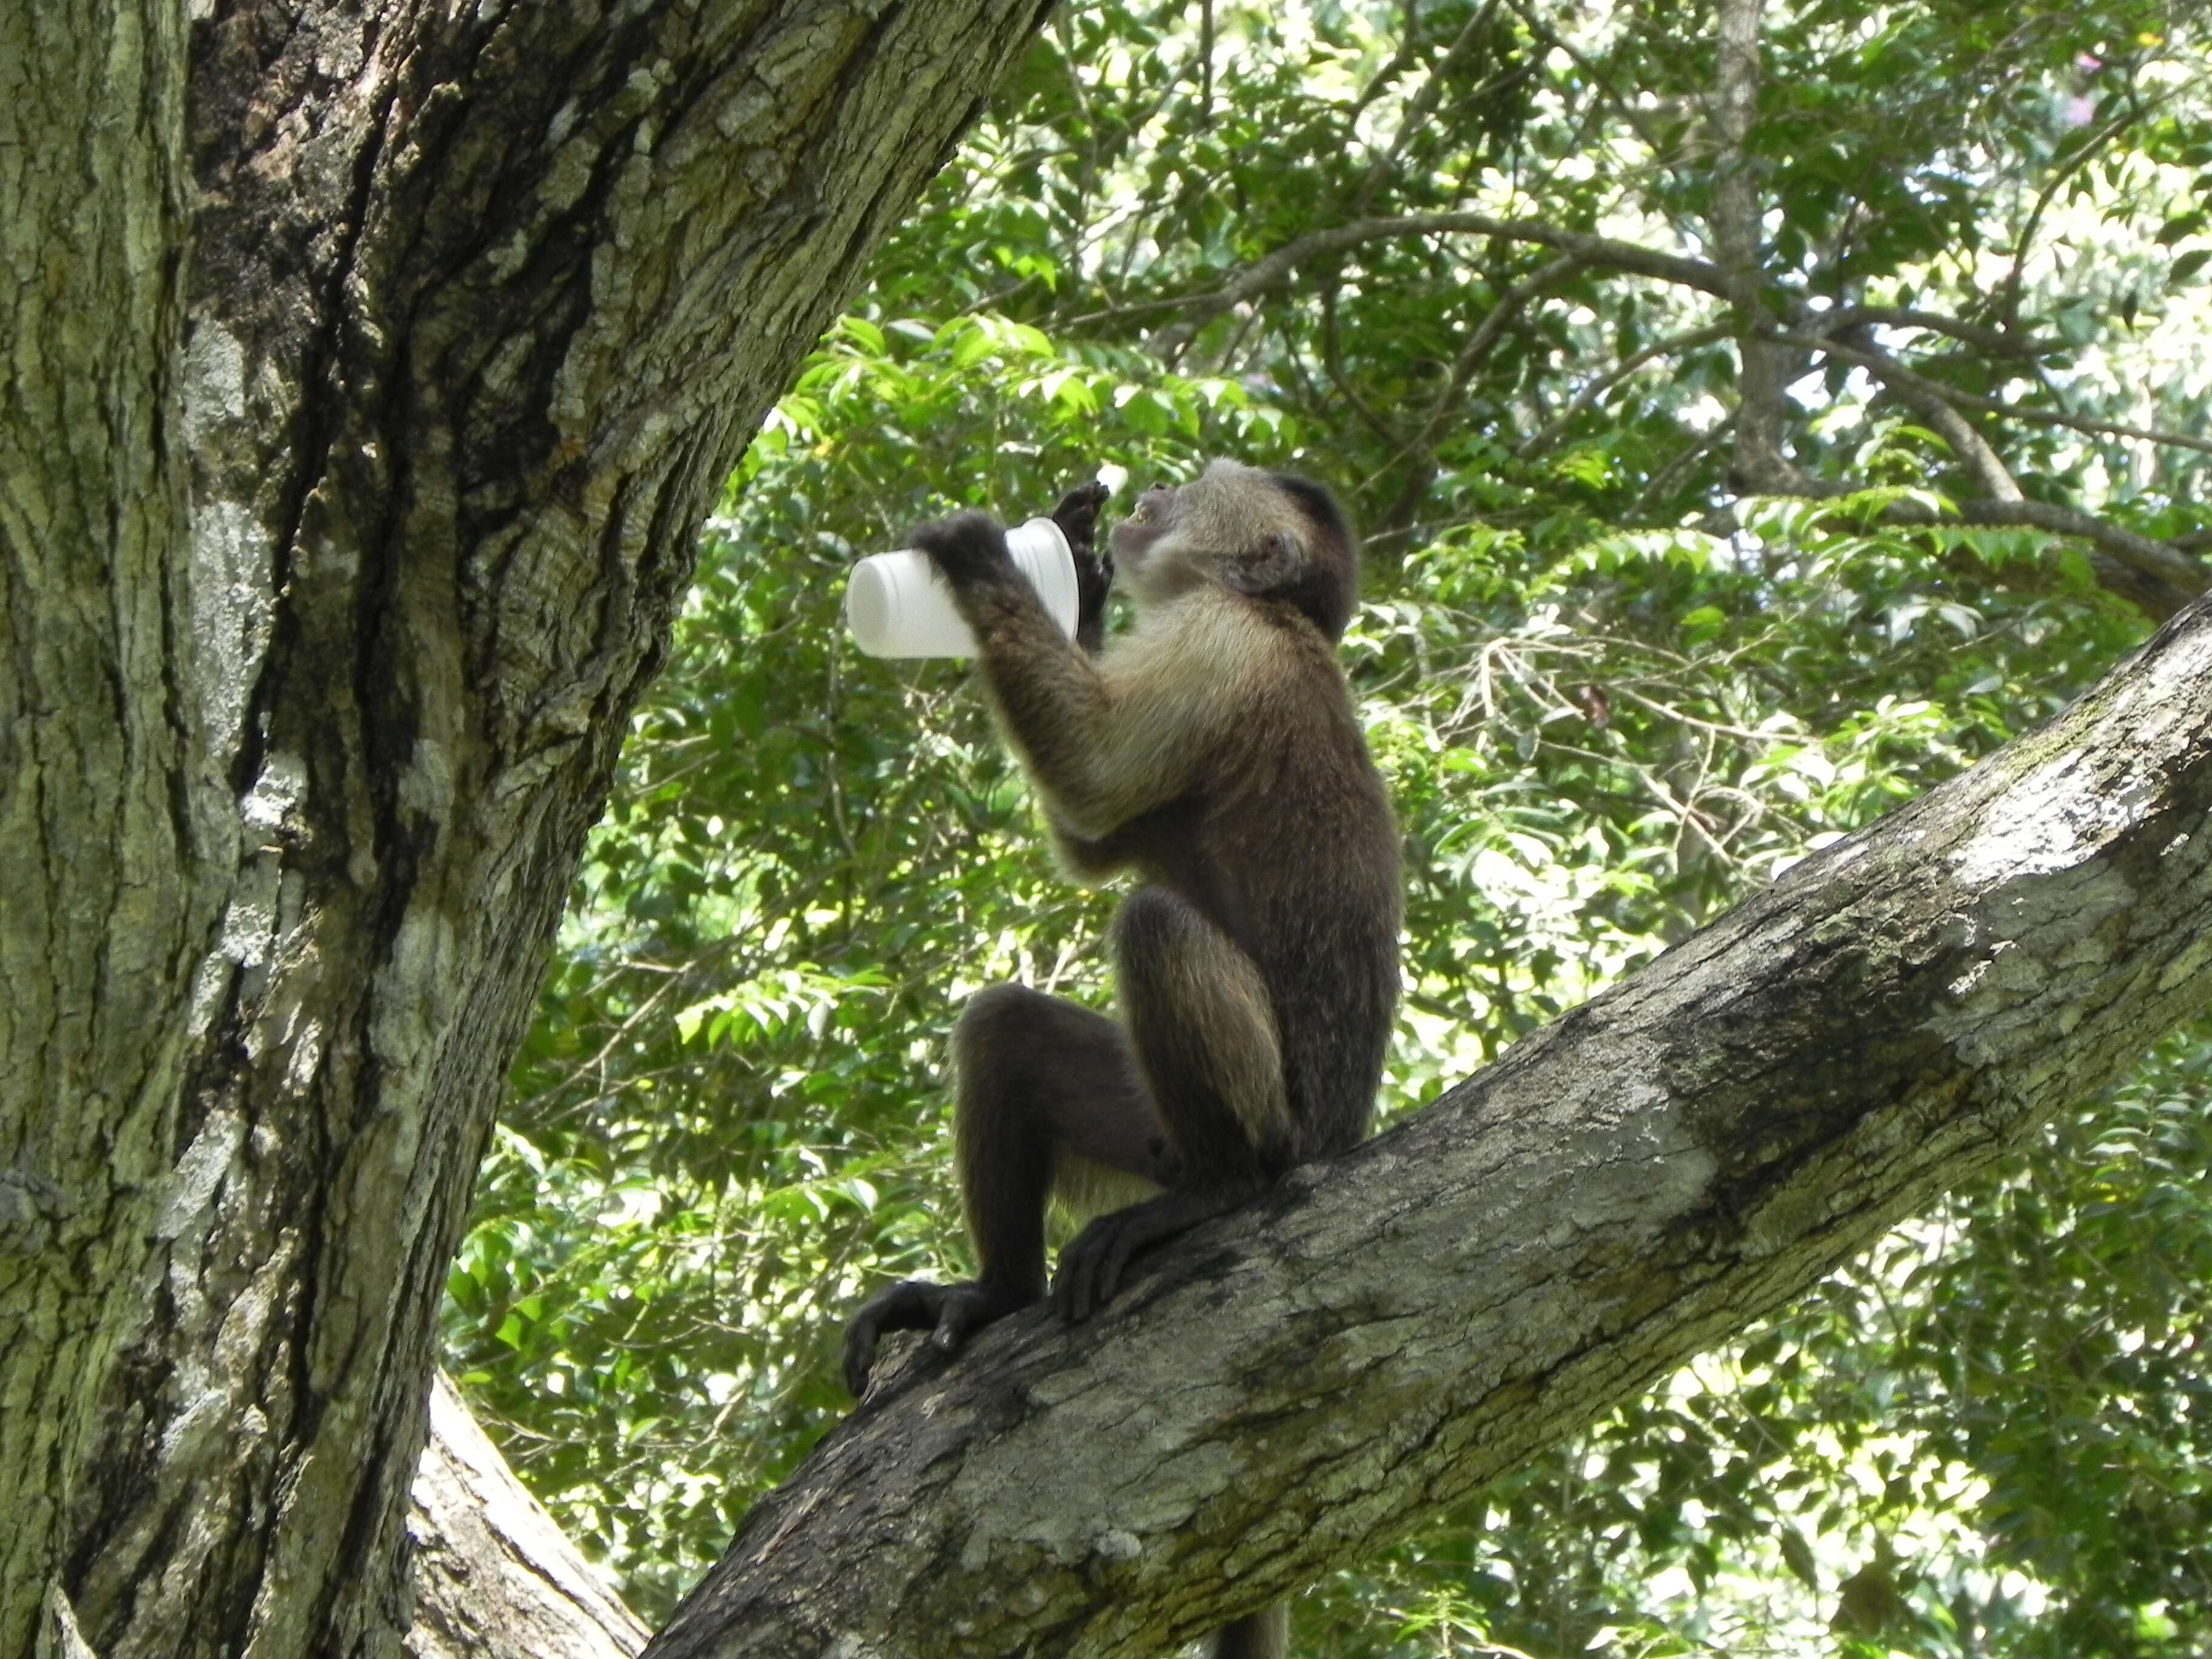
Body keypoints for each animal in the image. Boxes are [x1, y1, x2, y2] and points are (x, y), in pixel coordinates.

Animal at [845, 458, 1398, 1659]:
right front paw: (1078, 576)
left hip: (1280, 1120)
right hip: (1144, 1126)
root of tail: (1341, 1134)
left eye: (1210, 482)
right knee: (1003, 1028)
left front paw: (984, 559)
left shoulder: (1222, 643)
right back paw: (998, 1295)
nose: (1154, 487)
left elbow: (1097, 787)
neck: (1276, 618)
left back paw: (1224, 1190)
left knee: (1151, 925)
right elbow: (1089, 835)